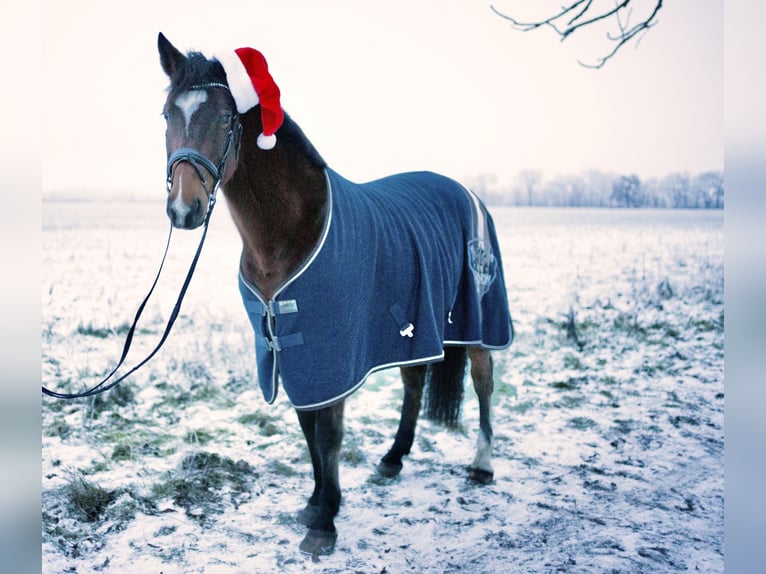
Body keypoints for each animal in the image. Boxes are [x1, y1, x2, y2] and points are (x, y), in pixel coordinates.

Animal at [158, 32, 512, 560]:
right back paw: (393, 458)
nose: (184, 209)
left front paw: (325, 521)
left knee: (483, 382)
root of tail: (465, 191)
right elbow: (309, 430)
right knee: (413, 383)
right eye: (167, 115)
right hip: (416, 326)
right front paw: (314, 503)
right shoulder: (288, 348)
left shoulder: (330, 351)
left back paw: (483, 464)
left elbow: (328, 434)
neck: (290, 233)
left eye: (224, 118)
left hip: (478, 319)